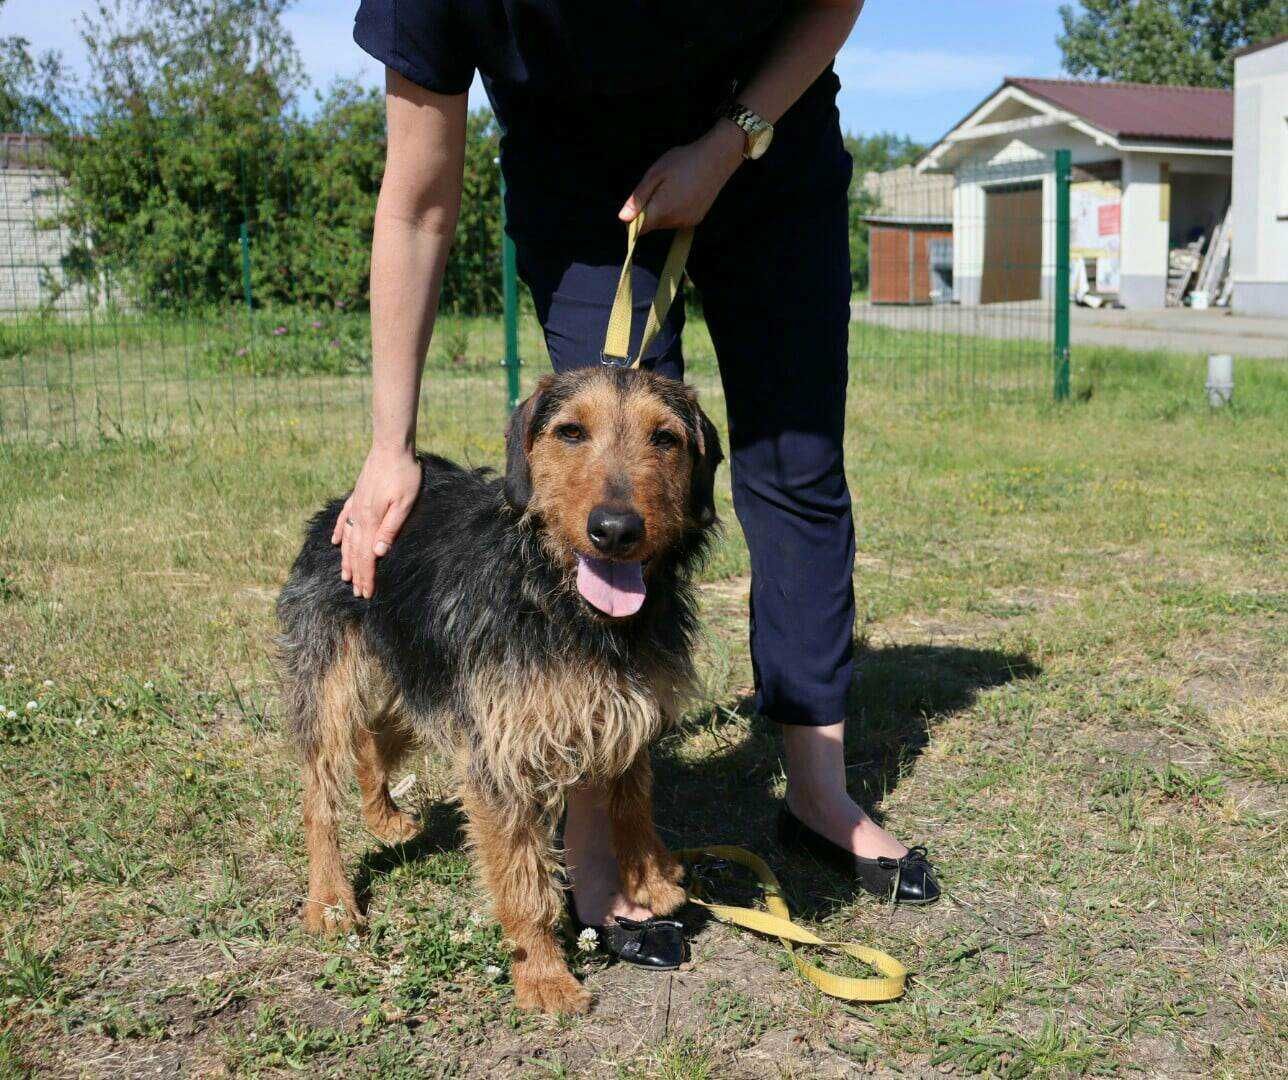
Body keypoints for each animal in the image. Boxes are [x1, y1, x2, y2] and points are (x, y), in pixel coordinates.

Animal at [278, 368, 726, 1019]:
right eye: (571, 432)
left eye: (665, 438)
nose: (616, 530)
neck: (566, 603)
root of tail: (338, 508)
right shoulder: (500, 754)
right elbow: (523, 878)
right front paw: (542, 975)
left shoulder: (626, 708)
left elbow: (632, 792)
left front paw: (649, 875)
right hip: (335, 687)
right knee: (320, 793)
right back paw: (331, 899)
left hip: (427, 683)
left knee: (377, 735)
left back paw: (385, 818)